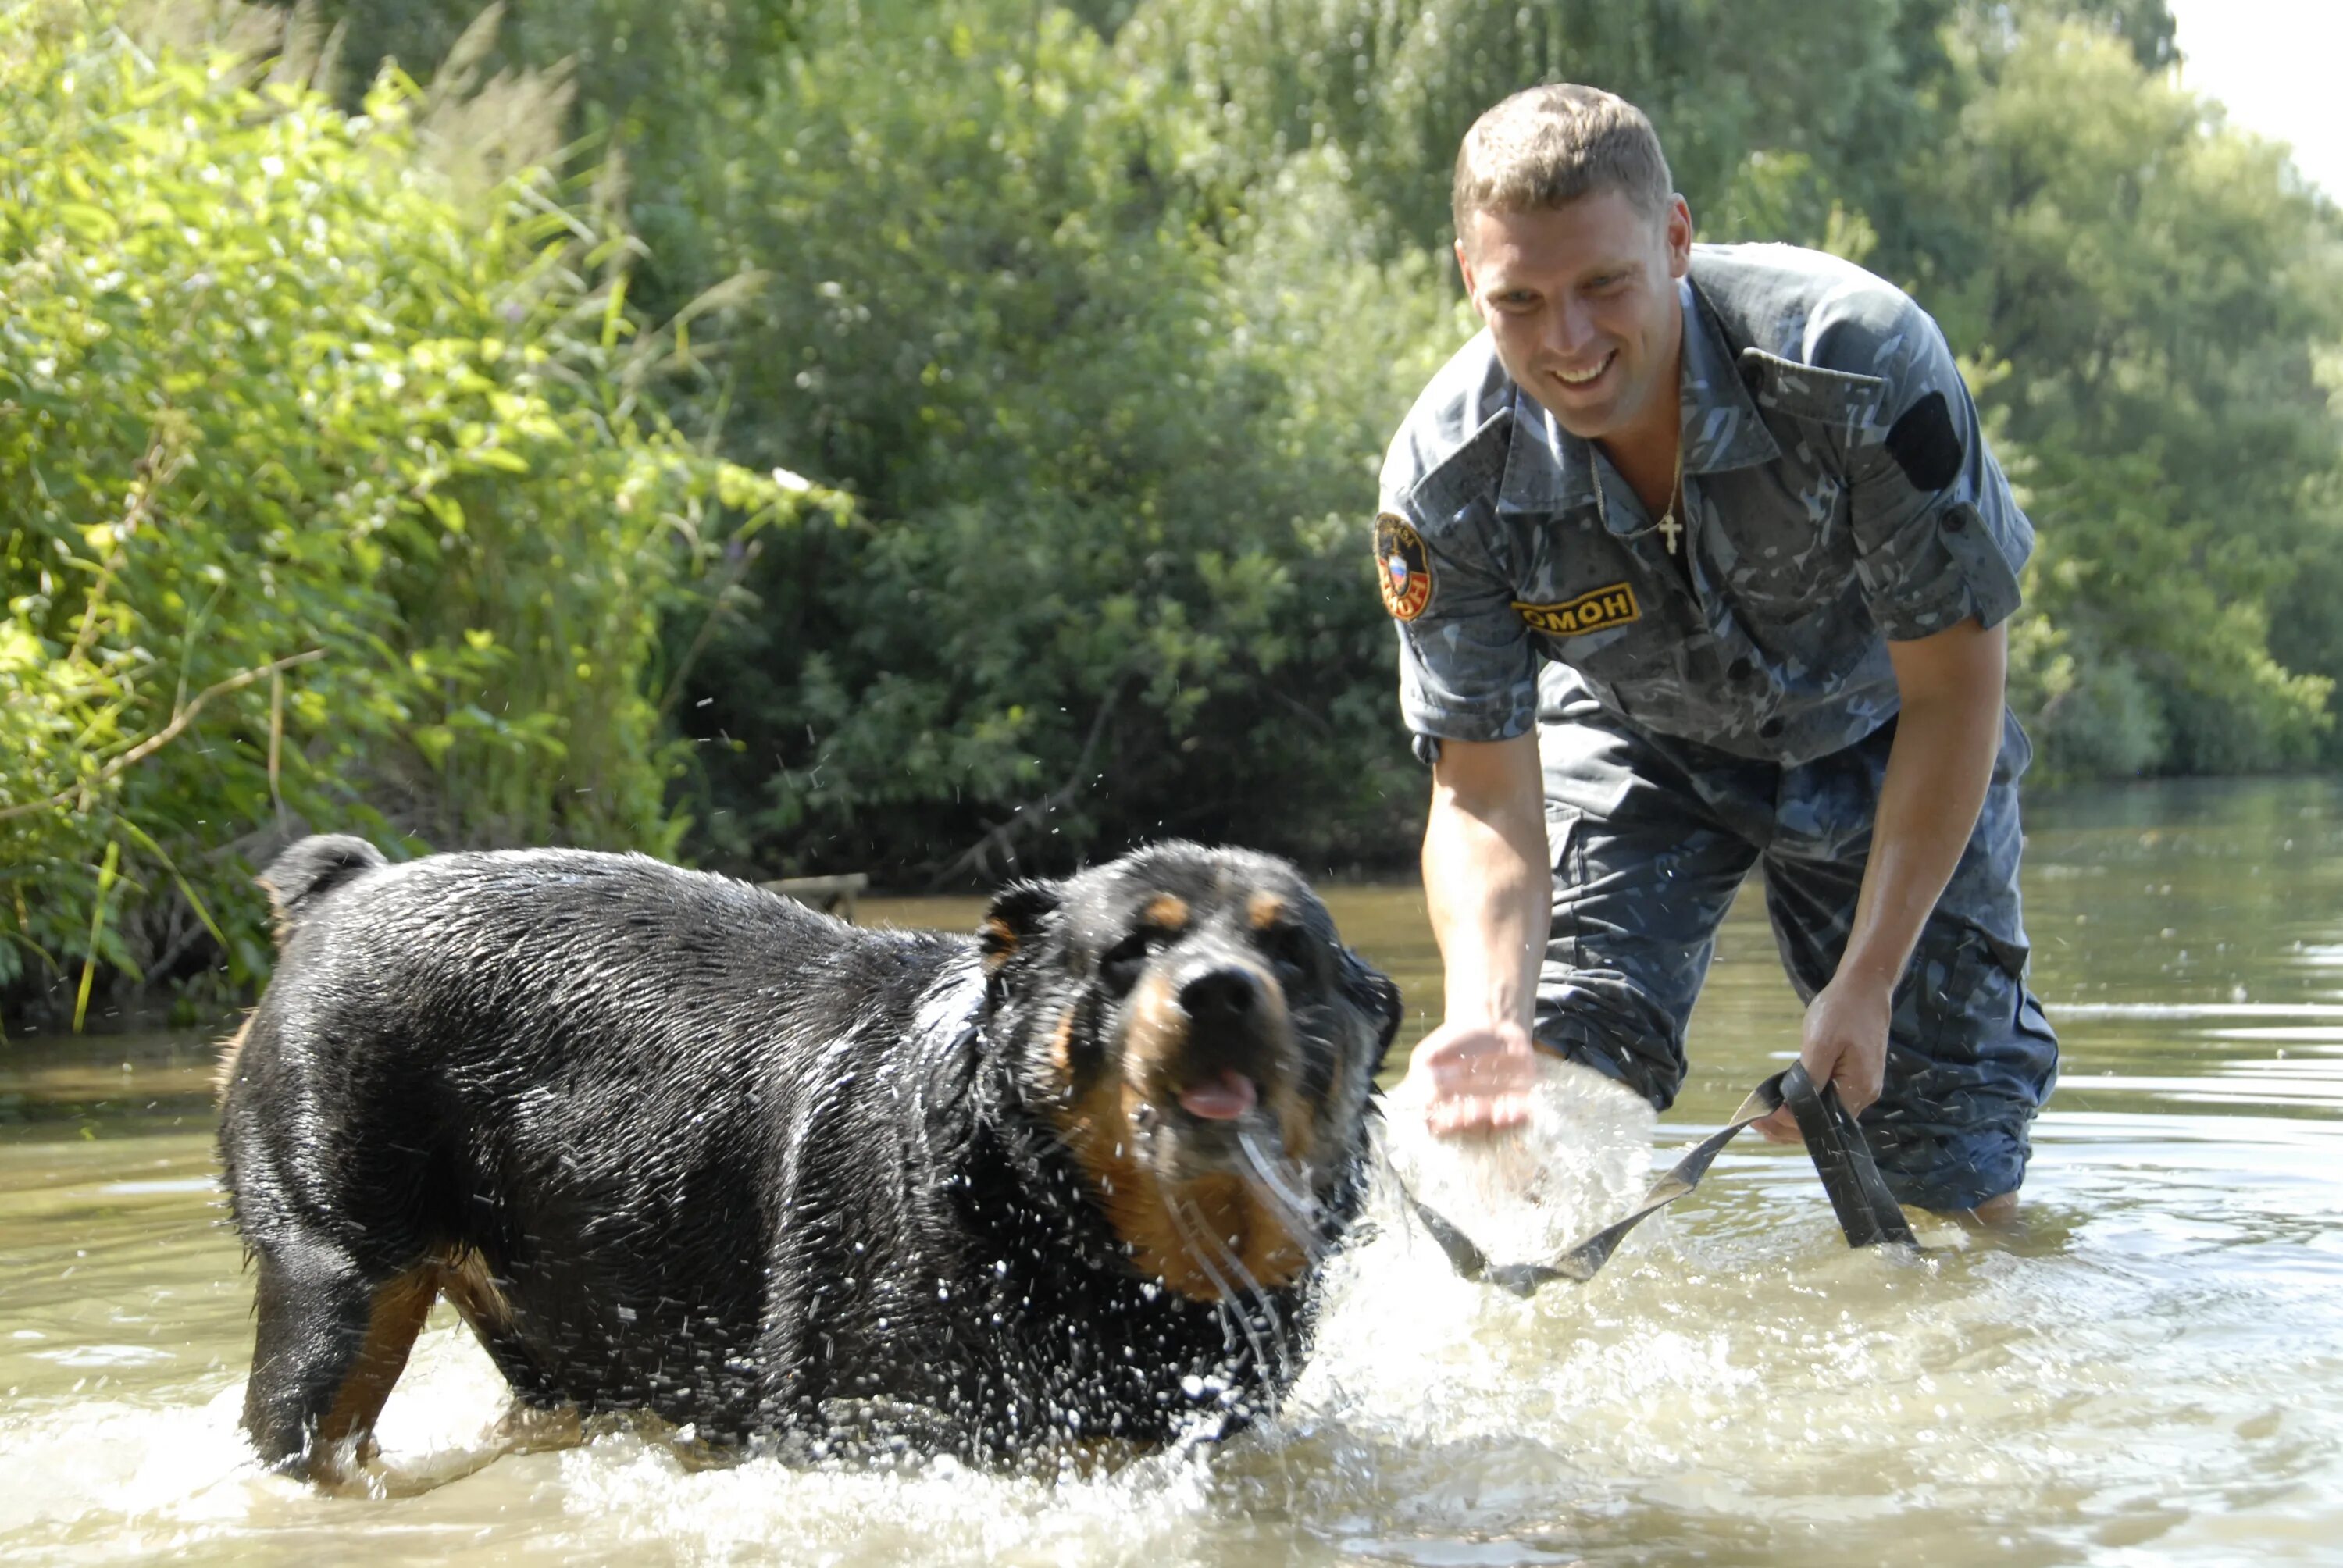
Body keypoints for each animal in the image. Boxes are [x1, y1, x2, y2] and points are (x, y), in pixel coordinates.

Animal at [216, 839, 1387, 1471]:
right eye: (1132, 949)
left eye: (1290, 951)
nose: (1221, 990)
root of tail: (344, 890)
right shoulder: (873, 1423)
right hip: (334, 1273)